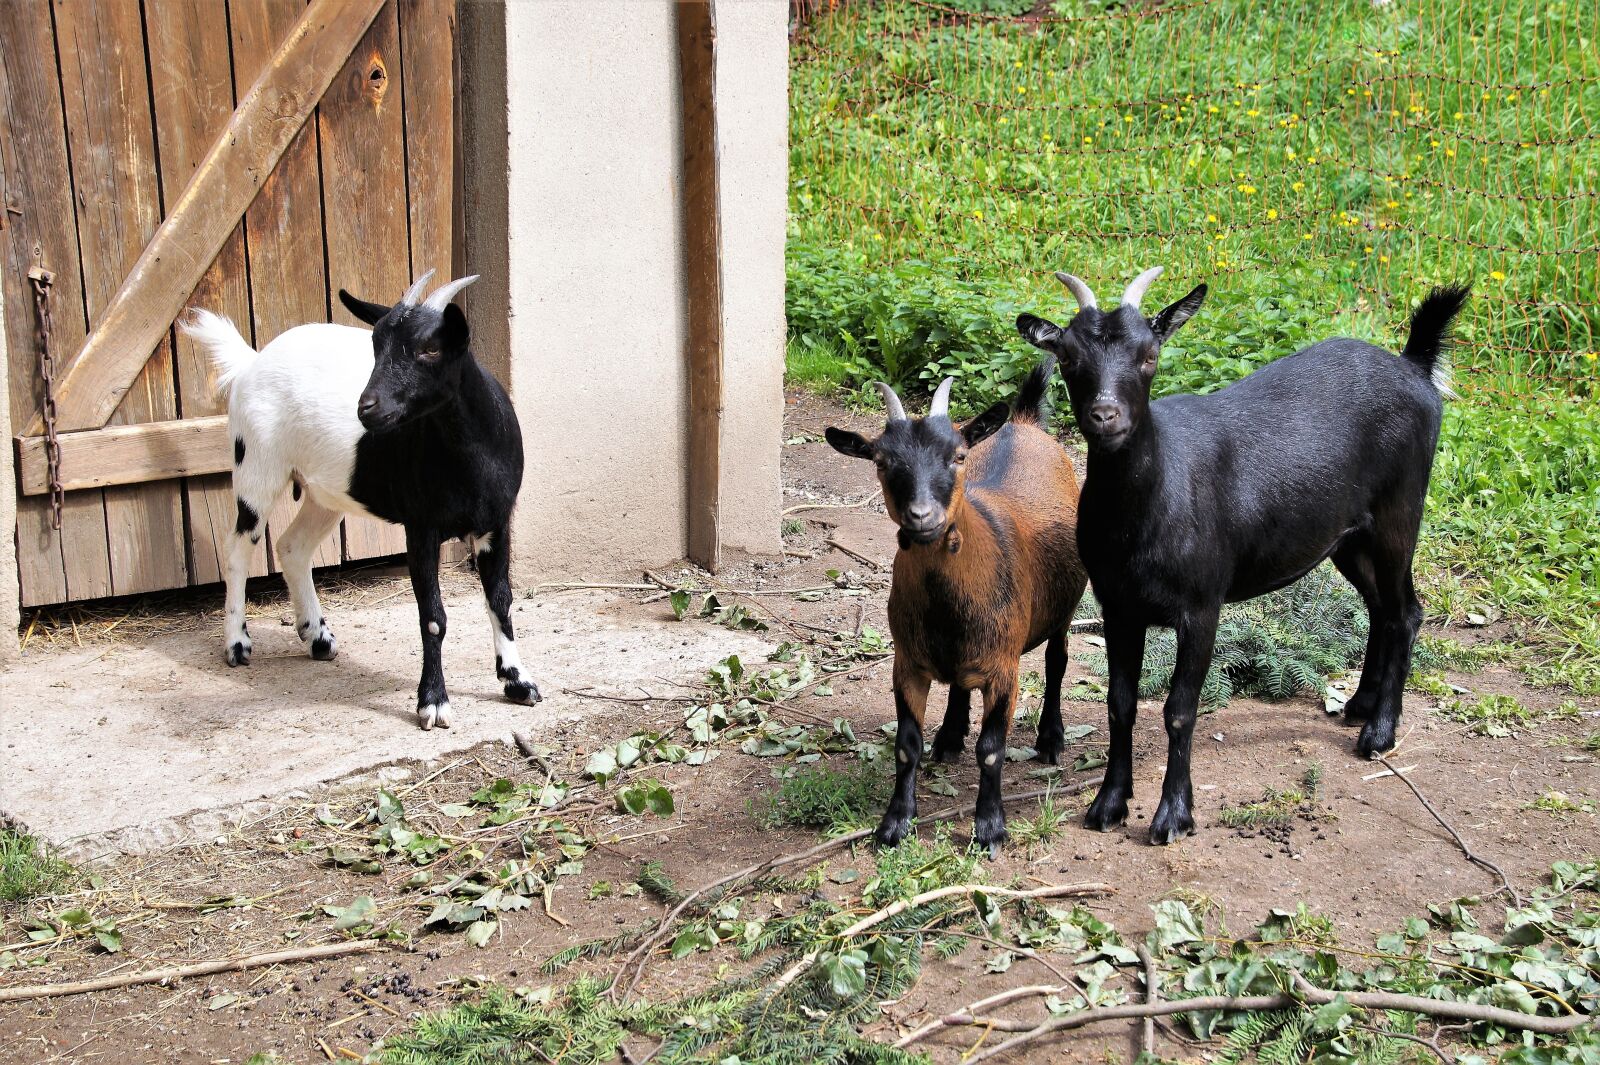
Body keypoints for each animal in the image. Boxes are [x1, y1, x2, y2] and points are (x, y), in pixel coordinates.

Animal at [183, 271, 540, 730]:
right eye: (375, 344)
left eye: (430, 348)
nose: (367, 408)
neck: (470, 460)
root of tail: (250, 362)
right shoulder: (421, 528)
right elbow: (433, 618)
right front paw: (433, 702)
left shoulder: (496, 522)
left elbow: (500, 601)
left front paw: (518, 682)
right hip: (256, 467)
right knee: (238, 549)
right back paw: (237, 644)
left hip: (326, 491)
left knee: (292, 546)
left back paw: (317, 636)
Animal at [825, 362, 1088, 855]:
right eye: (881, 462)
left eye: (959, 456)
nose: (922, 516)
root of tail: (1023, 422)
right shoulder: (907, 662)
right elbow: (906, 745)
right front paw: (895, 822)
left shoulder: (1004, 667)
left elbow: (992, 749)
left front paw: (990, 828)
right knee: (962, 681)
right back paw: (949, 736)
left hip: (1062, 612)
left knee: (1057, 661)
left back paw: (1050, 739)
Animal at [1018, 268, 1469, 844]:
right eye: (1070, 358)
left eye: (1149, 355)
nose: (1105, 415)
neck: (1152, 504)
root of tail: (1414, 366)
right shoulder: (1118, 605)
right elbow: (1120, 704)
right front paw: (1109, 804)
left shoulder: (1201, 604)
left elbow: (1179, 710)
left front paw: (1173, 816)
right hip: (1348, 537)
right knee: (1382, 610)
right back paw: (1358, 705)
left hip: (1399, 515)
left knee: (1407, 611)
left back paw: (1379, 733)